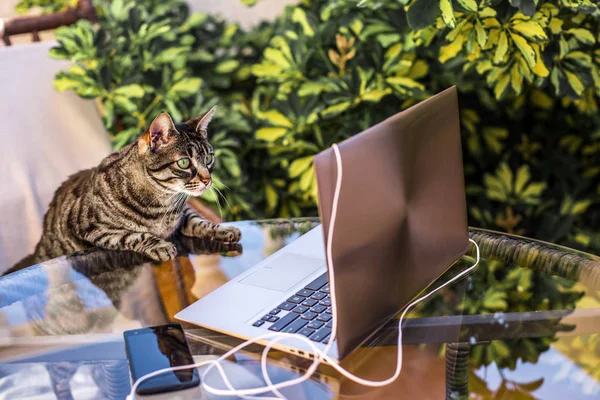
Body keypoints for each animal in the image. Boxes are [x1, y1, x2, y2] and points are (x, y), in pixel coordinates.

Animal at [8, 105, 240, 272]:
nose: (208, 180)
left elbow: (199, 220)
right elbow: (135, 235)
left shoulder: (183, 213)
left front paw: (224, 229)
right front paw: (160, 245)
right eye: (184, 163)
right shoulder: (94, 229)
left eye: (209, 159)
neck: (162, 203)